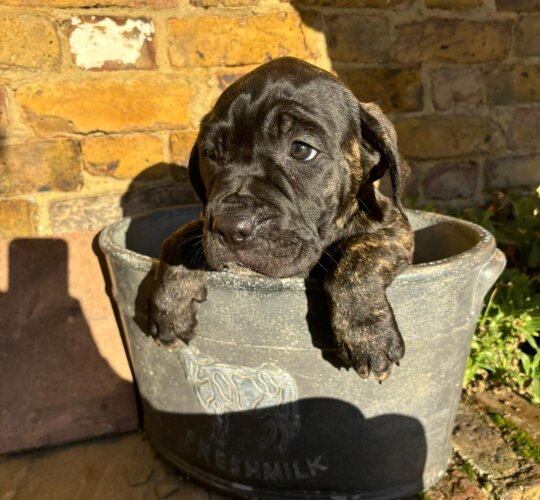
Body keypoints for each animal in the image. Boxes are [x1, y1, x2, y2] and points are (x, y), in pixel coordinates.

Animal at [148, 56, 414, 380]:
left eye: (301, 149)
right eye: (211, 153)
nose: (230, 227)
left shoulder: (395, 228)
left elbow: (358, 257)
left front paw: (367, 333)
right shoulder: (201, 223)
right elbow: (177, 237)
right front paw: (169, 305)